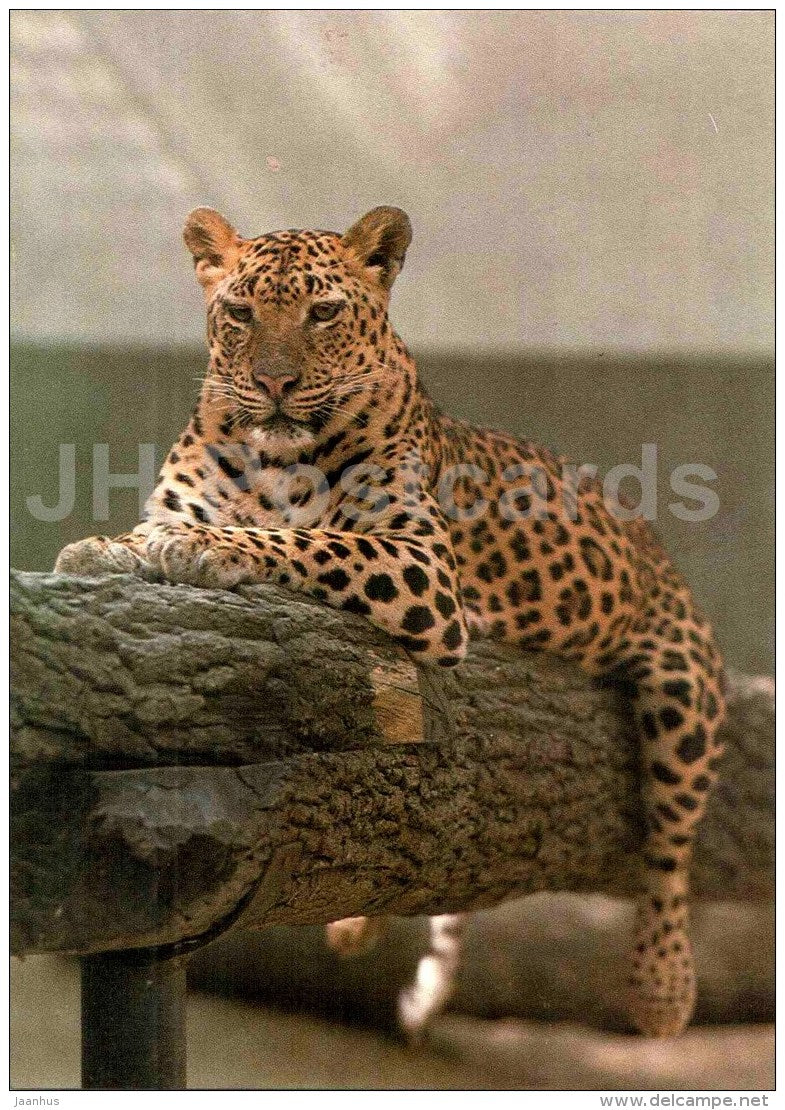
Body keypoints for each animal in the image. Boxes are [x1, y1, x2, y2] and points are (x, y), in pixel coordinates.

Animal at [56, 202, 726, 1042]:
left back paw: (662, 986)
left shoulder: (420, 565)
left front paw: (207, 548)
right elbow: (151, 535)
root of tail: (654, 542)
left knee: (672, 840)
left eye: (322, 312)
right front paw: (104, 549)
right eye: (240, 313)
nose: (274, 383)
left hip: (683, 688)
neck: (272, 460)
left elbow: (302, 541)